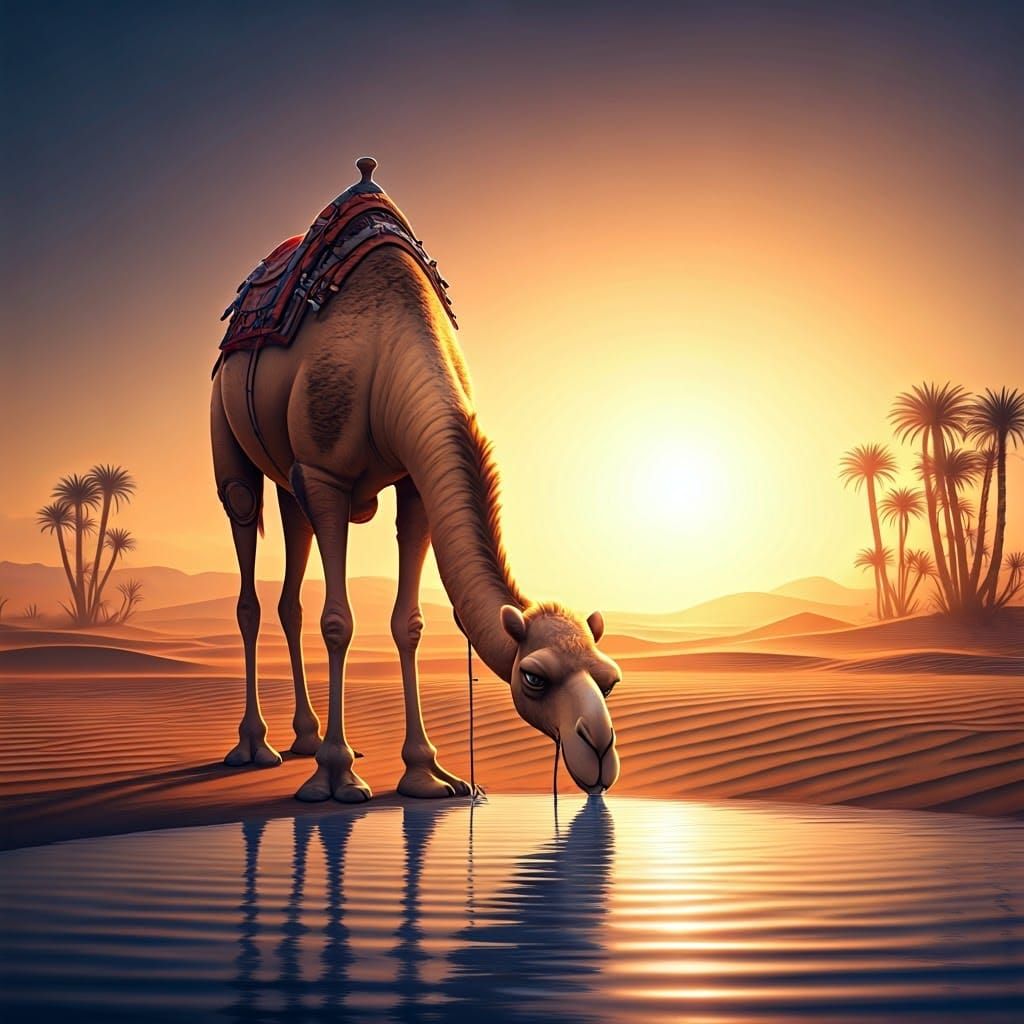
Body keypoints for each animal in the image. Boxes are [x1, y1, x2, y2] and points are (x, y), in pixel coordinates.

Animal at [211, 158, 621, 802]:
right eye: (533, 677)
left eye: (608, 680)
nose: (599, 750)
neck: (390, 352)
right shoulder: (325, 475)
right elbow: (339, 621)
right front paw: (336, 777)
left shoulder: (416, 481)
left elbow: (409, 624)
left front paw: (427, 774)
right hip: (231, 441)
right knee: (247, 555)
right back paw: (257, 748)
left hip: (290, 483)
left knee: (288, 593)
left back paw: (305, 737)